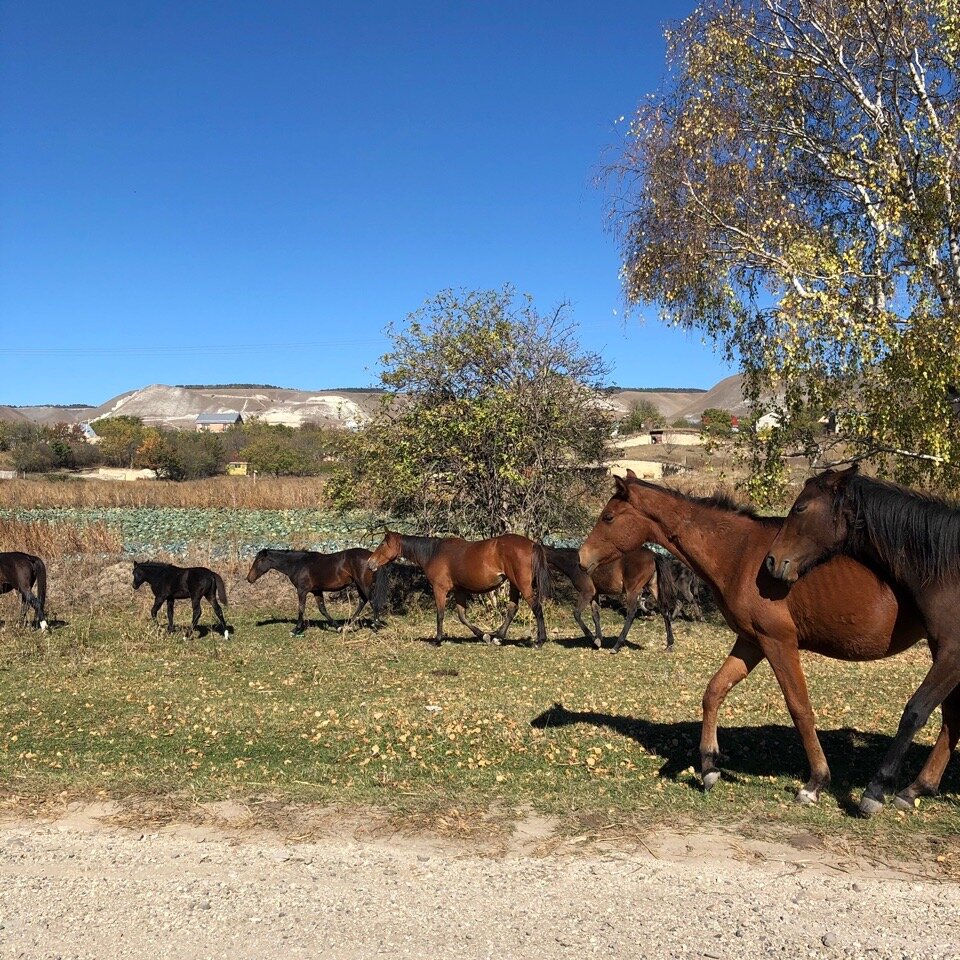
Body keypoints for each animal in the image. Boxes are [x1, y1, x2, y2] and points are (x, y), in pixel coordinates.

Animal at [248, 548, 390, 636]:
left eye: (259, 560)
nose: (249, 578)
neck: (298, 564)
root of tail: (373, 557)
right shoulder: (317, 591)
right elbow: (322, 609)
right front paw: (337, 627)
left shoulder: (302, 590)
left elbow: (301, 609)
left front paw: (295, 630)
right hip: (359, 585)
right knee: (363, 601)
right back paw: (348, 625)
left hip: (363, 584)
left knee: (372, 602)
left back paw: (375, 627)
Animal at [368, 528, 548, 648]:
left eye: (382, 544)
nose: (370, 563)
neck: (434, 553)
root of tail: (532, 544)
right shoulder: (459, 591)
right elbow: (462, 616)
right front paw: (483, 635)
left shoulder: (439, 589)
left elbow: (440, 615)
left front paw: (437, 640)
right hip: (514, 585)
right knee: (512, 609)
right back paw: (498, 637)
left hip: (522, 585)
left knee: (536, 607)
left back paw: (540, 641)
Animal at [544, 548, 680, 652]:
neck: (575, 563)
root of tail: (653, 555)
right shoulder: (595, 595)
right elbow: (596, 616)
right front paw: (598, 640)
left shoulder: (587, 593)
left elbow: (577, 614)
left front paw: (594, 640)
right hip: (653, 587)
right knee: (664, 611)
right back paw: (669, 645)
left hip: (632, 591)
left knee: (631, 614)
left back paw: (616, 646)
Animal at [576, 470, 936, 808]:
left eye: (608, 517)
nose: (581, 557)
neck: (740, 554)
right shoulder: (750, 642)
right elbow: (714, 692)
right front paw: (709, 767)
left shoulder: (778, 643)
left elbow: (799, 708)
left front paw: (816, 782)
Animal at [764, 464, 960, 816]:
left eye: (800, 508)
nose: (773, 560)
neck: (953, 571)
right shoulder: (945, 652)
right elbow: (950, 718)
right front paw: (914, 789)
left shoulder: (953, 654)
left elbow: (915, 711)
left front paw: (876, 789)